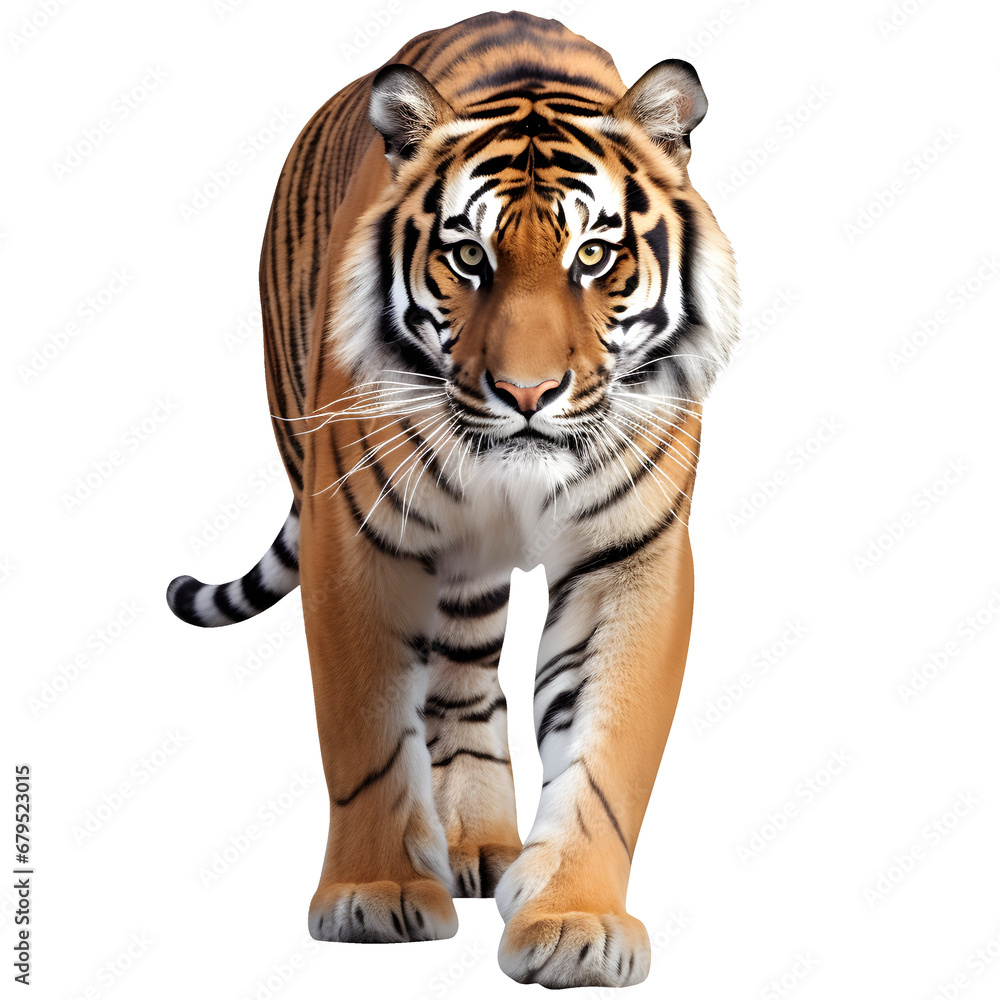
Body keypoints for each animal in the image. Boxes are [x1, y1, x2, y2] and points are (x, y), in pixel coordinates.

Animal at [167, 11, 738, 988]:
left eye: (595, 255)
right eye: (468, 256)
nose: (527, 393)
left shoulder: (630, 555)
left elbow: (604, 749)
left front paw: (576, 920)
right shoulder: (356, 533)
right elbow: (362, 729)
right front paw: (374, 895)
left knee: (467, 673)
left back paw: (482, 844)